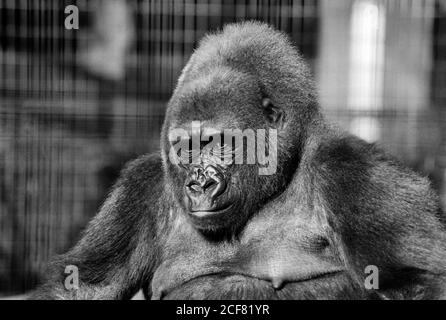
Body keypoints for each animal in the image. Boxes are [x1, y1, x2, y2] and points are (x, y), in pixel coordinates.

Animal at [32, 21, 446, 300]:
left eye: (218, 142)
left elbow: (420, 282)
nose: (198, 184)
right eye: (185, 148)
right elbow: (82, 287)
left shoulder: (357, 172)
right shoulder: (141, 187)